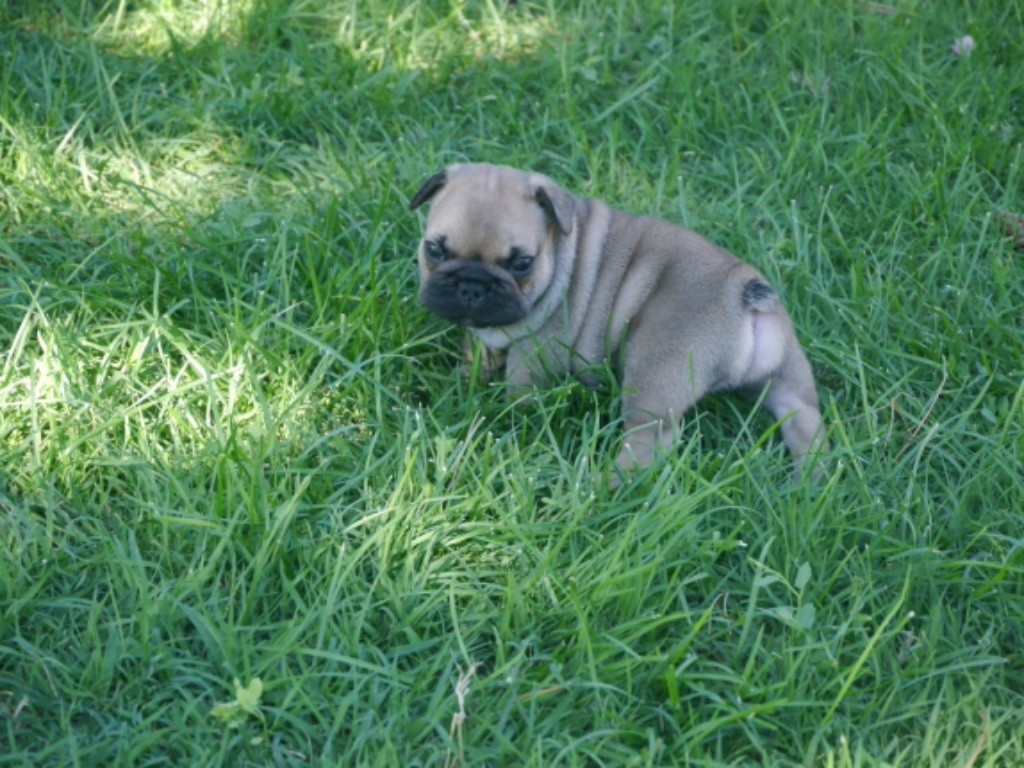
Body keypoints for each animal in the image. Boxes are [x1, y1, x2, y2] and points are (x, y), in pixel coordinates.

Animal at [407, 162, 823, 481]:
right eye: (434, 250)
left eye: (522, 263)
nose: (472, 285)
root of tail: (744, 294)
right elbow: (476, 352)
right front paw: (465, 383)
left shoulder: (537, 350)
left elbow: (520, 389)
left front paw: (508, 417)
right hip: (789, 379)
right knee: (805, 422)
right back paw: (808, 483)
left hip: (655, 371)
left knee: (650, 440)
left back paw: (604, 486)